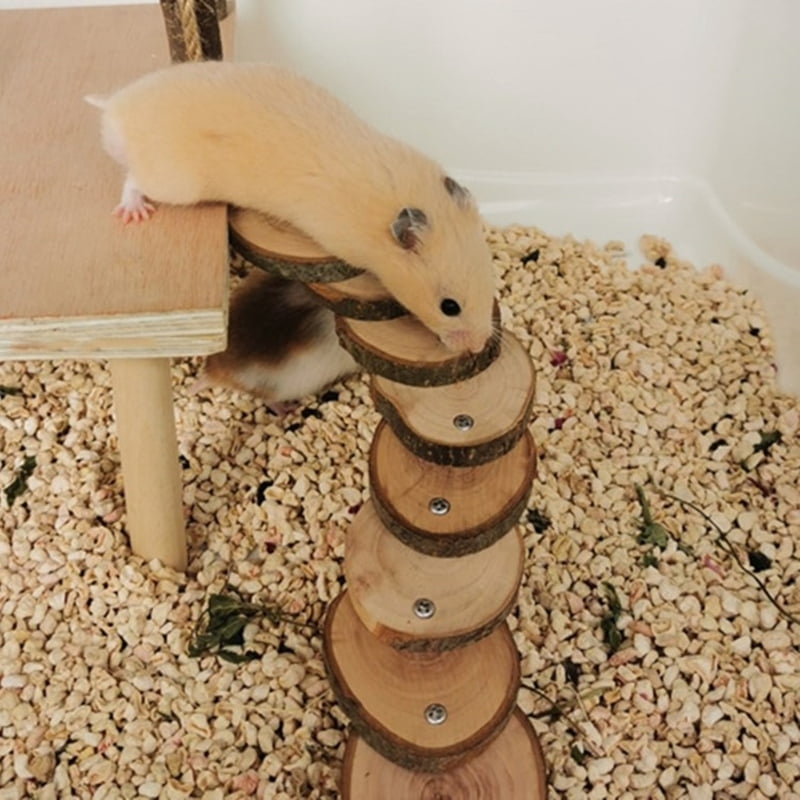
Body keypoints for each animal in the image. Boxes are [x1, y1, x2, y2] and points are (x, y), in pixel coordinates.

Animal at [88, 61, 496, 354]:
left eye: (490, 282)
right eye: (449, 307)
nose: (476, 349)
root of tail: (114, 112)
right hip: (176, 183)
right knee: (132, 180)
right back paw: (133, 212)